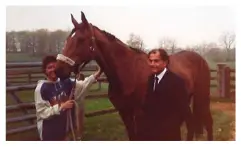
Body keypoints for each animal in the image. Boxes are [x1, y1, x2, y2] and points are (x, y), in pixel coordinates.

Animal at [54, 12, 213, 141]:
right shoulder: (124, 112)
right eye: (68, 39)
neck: (128, 71)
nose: (58, 70)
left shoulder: (139, 114)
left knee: (208, 122)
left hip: (202, 97)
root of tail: (201, 59)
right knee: (191, 124)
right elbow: (132, 136)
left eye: (81, 39)